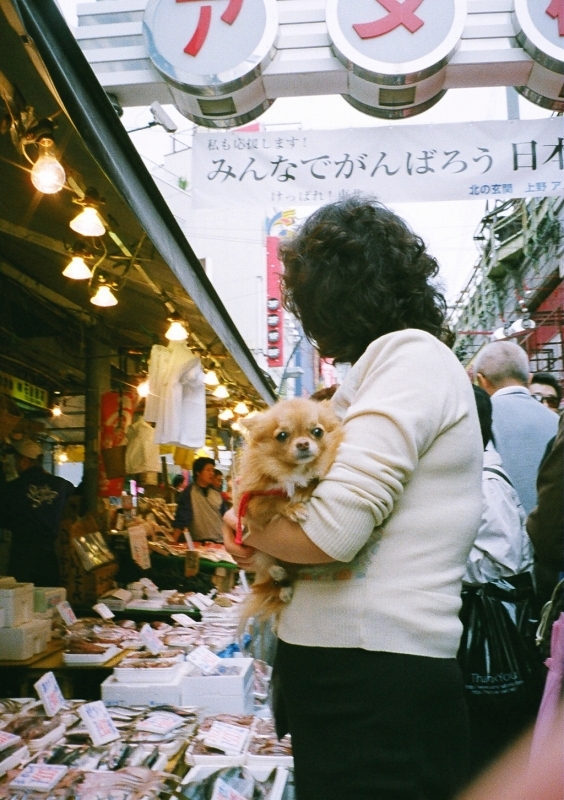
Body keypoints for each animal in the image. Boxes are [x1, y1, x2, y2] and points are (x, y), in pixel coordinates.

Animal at [235, 396, 344, 628]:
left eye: (317, 432)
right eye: (282, 436)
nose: (303, 443)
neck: (295, 472)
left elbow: (313, 480)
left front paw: (304, 490)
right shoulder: (252, 503)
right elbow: (276, 500)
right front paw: (292, 506)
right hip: (264, 554)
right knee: (271, 572)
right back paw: (280, 580)